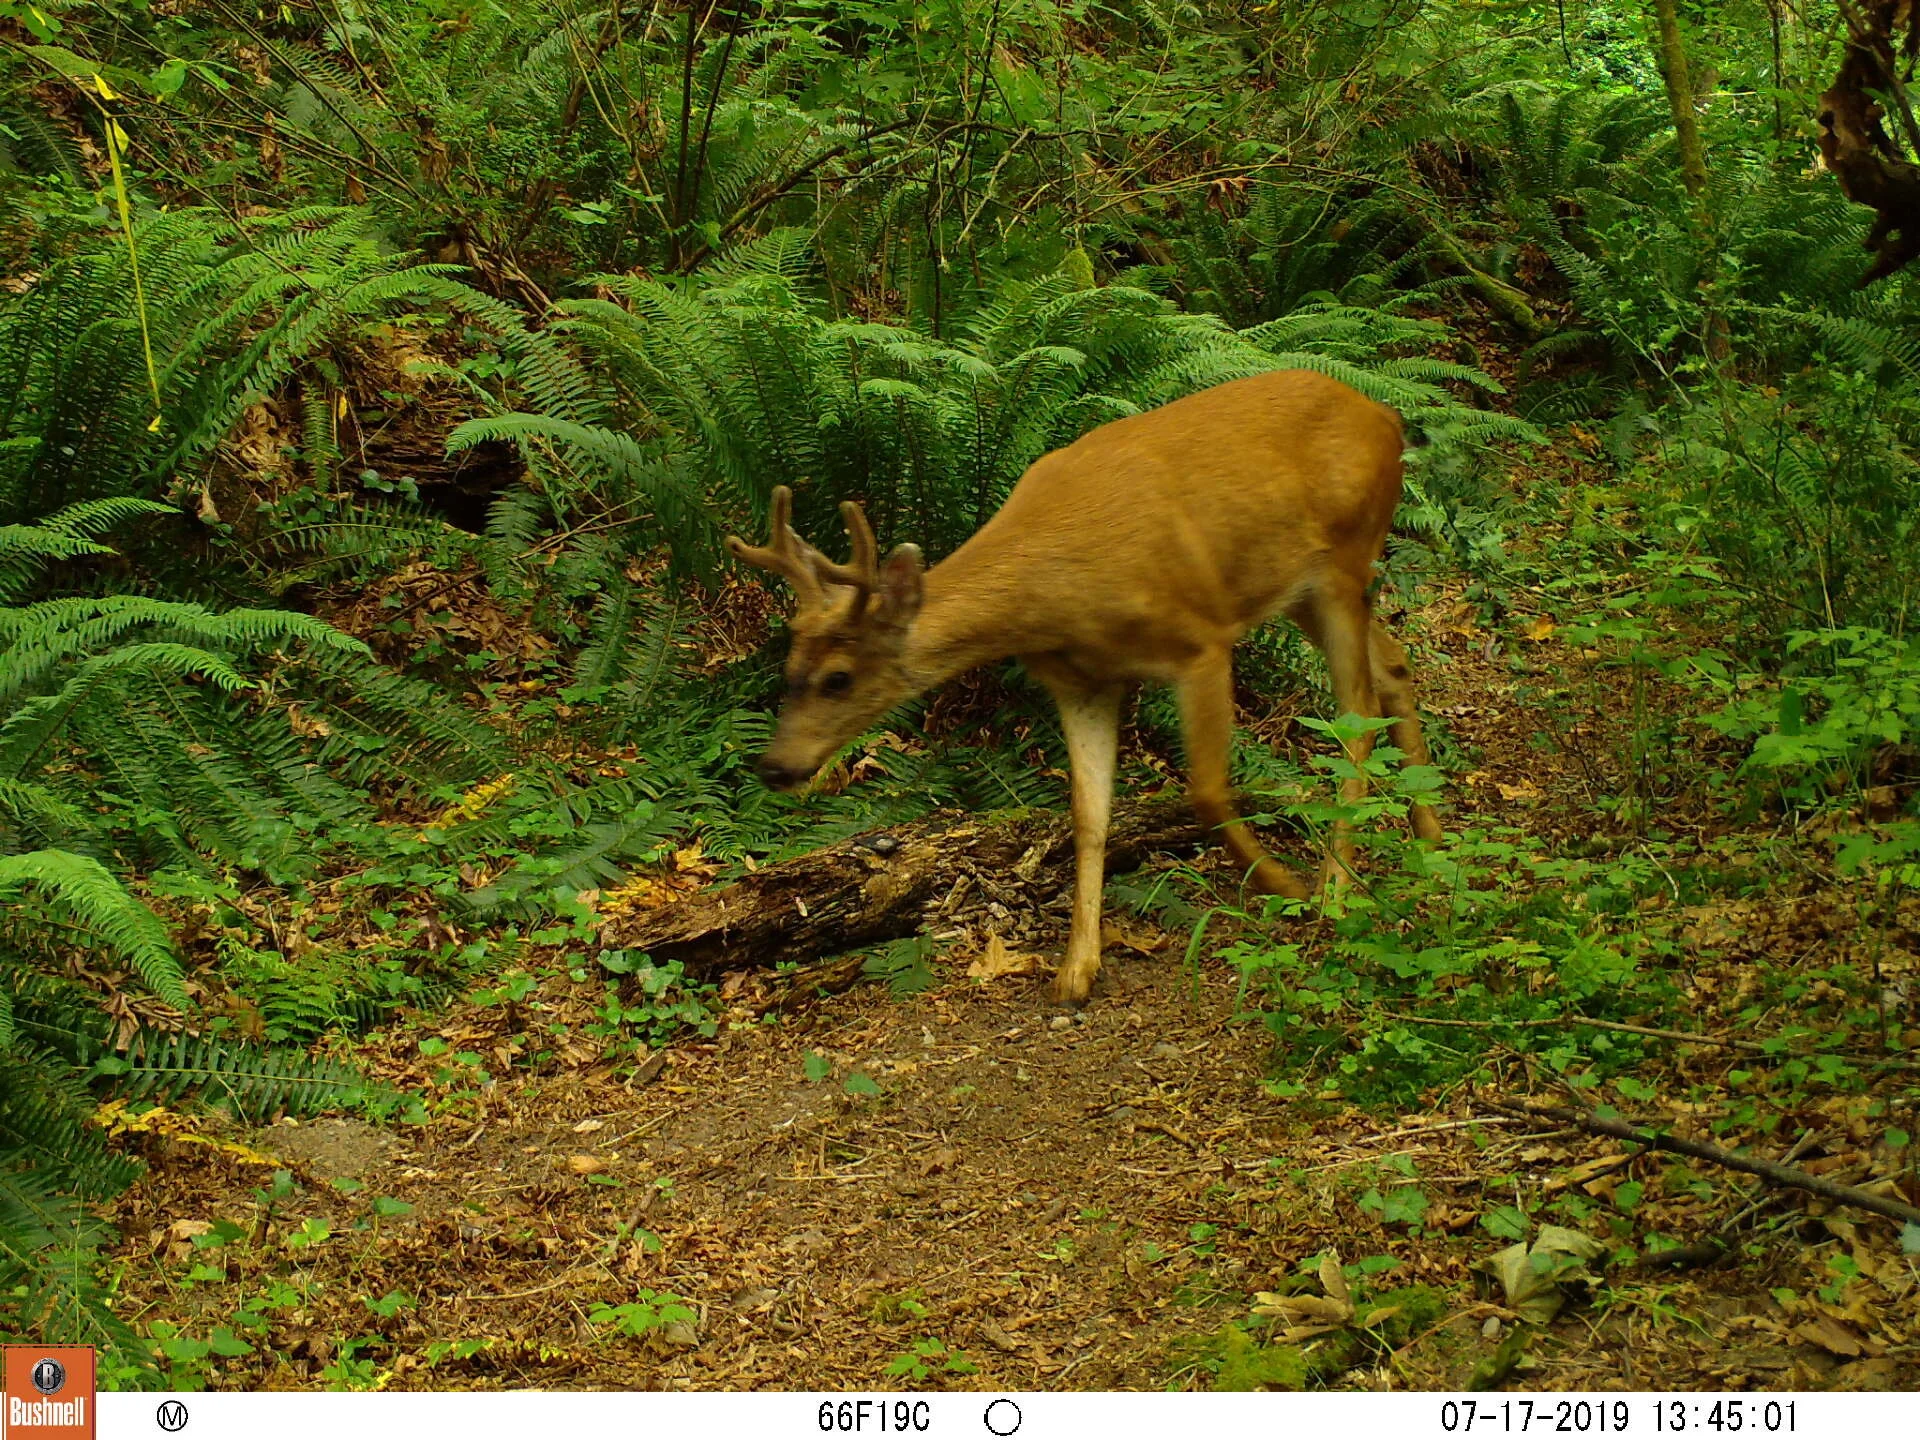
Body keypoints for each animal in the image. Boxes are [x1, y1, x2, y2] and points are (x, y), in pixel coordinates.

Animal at [726, 368, 1444, 1006]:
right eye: (788, 669)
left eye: (838, 678)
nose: (773, 766)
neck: (1056, 592)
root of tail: (1387, 418)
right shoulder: (1080, 682)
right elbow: (1089, 816)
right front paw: (1077, 969)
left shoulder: (1201, 640)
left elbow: (1207, 790)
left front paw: (1283, 886)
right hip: (1307, 588)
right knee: (1396, 665)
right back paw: (1430, 833)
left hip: (1344, 559)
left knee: (1356, 710)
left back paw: (1335, 886)